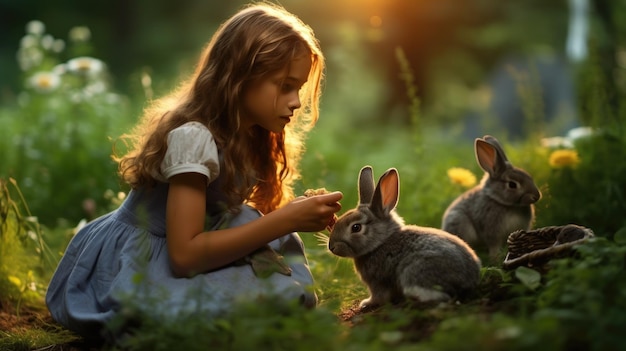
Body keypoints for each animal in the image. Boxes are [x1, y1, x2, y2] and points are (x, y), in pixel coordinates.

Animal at [326, 166, 478, 310]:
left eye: (356, 227)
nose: (332, 247)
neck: (380, 243)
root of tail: (467, 281)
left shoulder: (378, 282)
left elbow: (379, 296)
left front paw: (366, 303)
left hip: (415, 272)